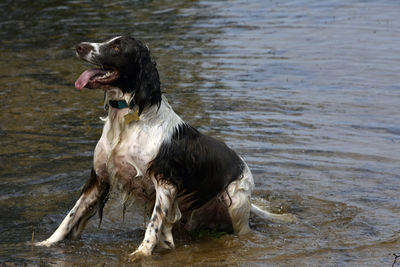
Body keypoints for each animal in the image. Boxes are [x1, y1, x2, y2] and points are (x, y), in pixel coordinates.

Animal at [35, 35, 296, 258]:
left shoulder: (165, 182)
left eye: (117, 47)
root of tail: (244, 167)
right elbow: (70, 216)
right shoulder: (99, 178)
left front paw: (141, 253)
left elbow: (153, 224)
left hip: (237, 204)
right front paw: (45, 243)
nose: (79, 46)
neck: (128, 119)